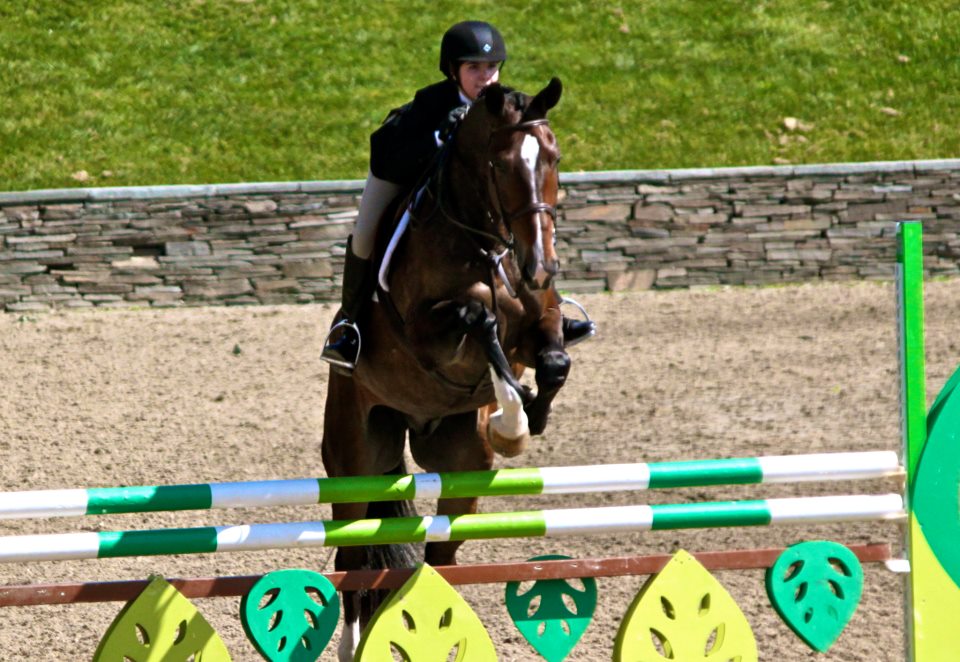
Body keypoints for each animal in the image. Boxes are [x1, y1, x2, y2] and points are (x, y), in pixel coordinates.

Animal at [326, 78, 572, 660]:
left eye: (554, 158)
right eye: (500, 165)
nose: (540, 265)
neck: (486, 246)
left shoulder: (541, 319)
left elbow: (554, 359)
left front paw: (526, 415)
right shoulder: (423, 331)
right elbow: (479, 317)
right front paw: (511, 418)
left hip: (462, 466)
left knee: (442, 558)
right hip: (352, 461)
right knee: (350, 559)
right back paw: (352, 644)